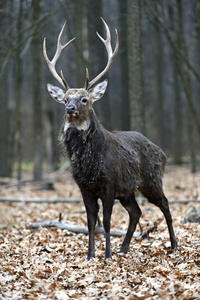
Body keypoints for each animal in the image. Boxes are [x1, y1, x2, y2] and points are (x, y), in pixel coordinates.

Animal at [43, 18, 177, 260]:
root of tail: (162, 152)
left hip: (151, 179)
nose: (69, 109)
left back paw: (173, 244)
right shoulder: (84, 188)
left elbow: (105, 222)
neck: (89, 164)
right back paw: (124, 248)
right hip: (128, 191)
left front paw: (106, 255)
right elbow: (90, 223)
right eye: (65, 99)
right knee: (136, 212)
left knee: (164, 203)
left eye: (84, 99)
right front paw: (90, 255)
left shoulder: (109, 184)